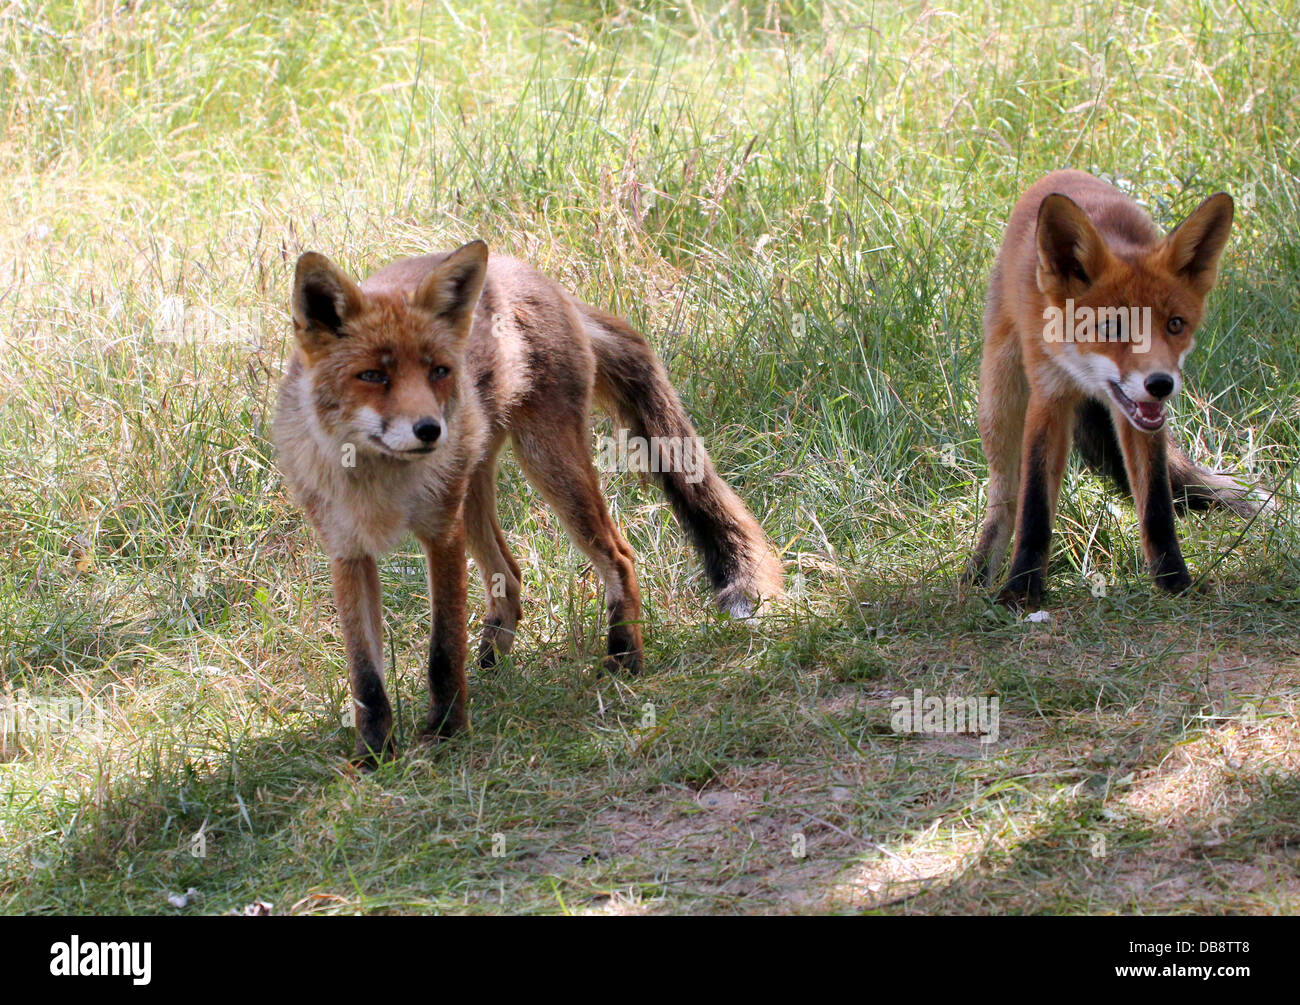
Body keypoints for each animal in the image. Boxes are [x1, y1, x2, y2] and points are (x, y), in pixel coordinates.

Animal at [274, 239, 780, 764]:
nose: (430, 430)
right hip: (474, 490)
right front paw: (373, 756)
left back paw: (623, 659)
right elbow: (366, 678)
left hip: (546, 464)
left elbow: (443, 649)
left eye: (439, 371)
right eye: (372, 375)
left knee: (619, 556)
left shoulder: (441, 535)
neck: (380, 483)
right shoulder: (347, 551)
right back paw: (494, 663)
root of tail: (537, 277)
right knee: (511, 573)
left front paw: (446, 732)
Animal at [972, 170, 1263, 603]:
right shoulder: (1049, 397)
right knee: (1004, 498)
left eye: (1175, 324)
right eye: (1112, 327)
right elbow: (1035, 506)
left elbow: (1157, 505)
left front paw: (1174, 582)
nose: (1160, 383)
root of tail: (1060, 172)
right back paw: (976, 574)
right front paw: (1022, 589)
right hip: (1000, 399)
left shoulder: (1141, 421)